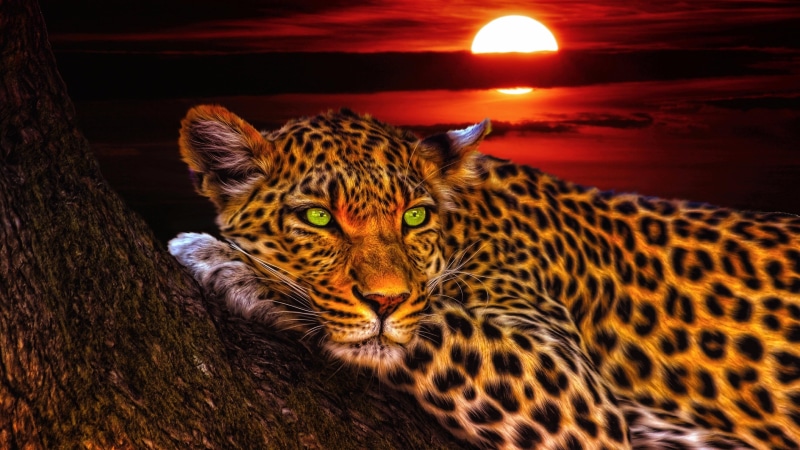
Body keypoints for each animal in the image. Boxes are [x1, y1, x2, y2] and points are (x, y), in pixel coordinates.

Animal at [168, 104, 800, 449]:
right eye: (319, 217)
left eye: (414, 216)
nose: (385, 301)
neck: (466, 225)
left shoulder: (571, 389)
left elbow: (435, 324)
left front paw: (225, 261)